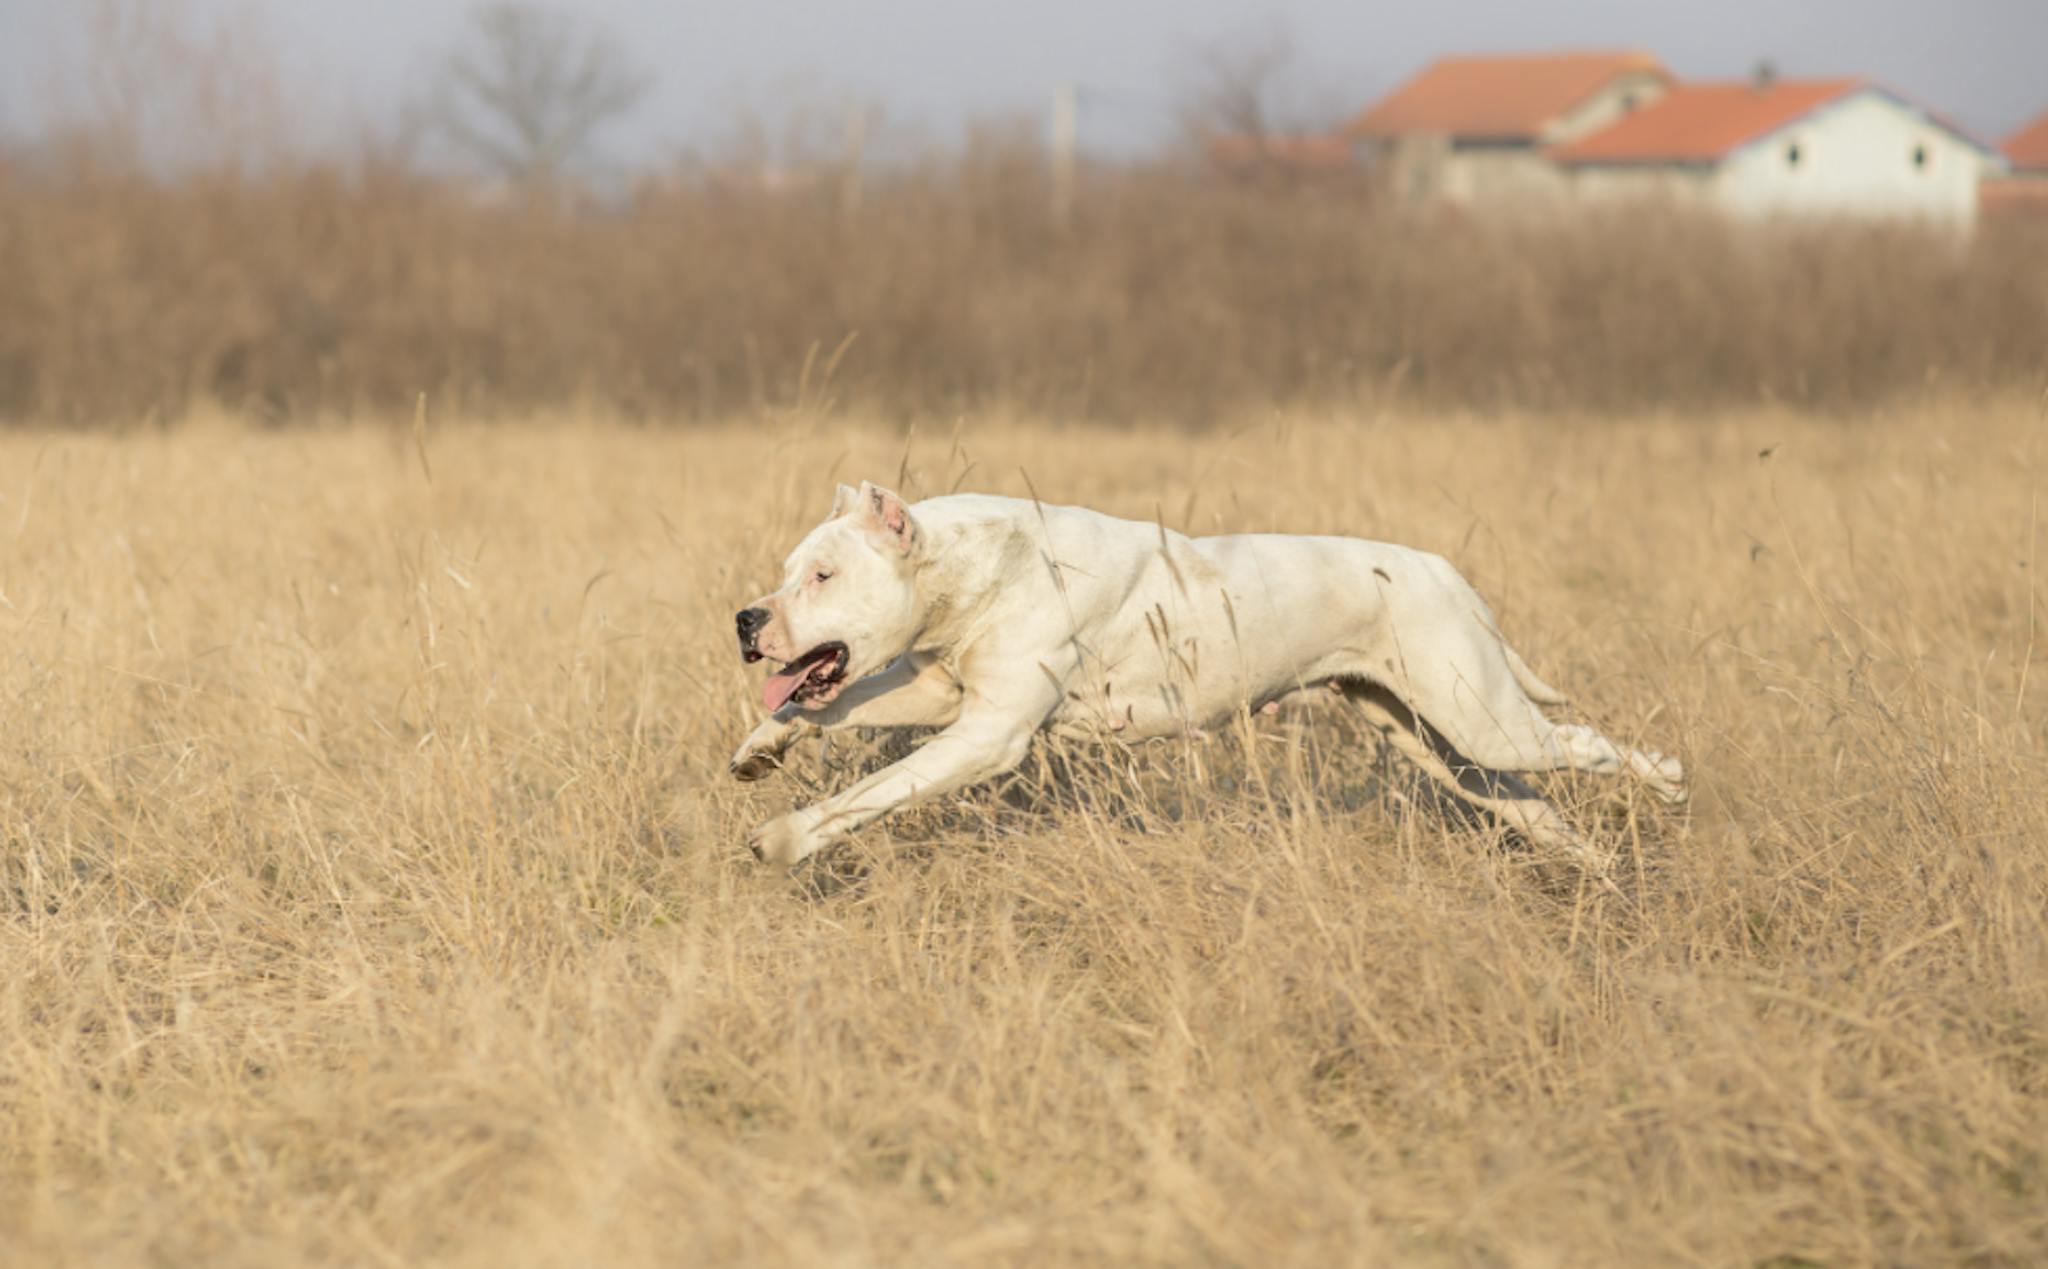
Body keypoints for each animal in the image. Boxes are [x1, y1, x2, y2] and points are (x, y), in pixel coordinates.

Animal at [729, 480, 1687, 876]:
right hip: (1434, 738)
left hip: (1482, 713)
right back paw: (1596, 866)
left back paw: (1671, 782)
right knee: (1528, 799)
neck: (966, 569)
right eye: (784, 572)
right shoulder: (948, 696)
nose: (746, 619)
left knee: (1586, 743)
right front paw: (762, 745)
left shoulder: (988, 734)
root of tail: (1446, 570)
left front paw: (786, 837)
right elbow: (839, 705)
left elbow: (872, 792)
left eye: (824, 576)